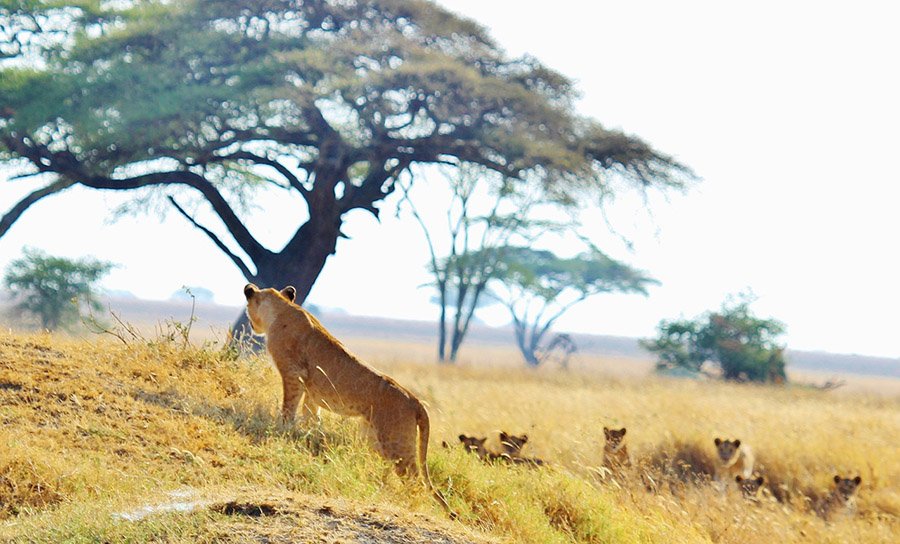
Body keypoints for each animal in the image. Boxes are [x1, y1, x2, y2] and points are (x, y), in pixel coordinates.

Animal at [243, 283, 453, 516]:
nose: (250, 325)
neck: (281, 307)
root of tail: (415, 400)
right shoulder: (311, 390)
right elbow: (311, 416)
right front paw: (307, 436)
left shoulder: (293, 374)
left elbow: (288, 407)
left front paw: (282, 429)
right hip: (375, 439)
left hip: (396, 443)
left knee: (416, 481)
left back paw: (411, 505)